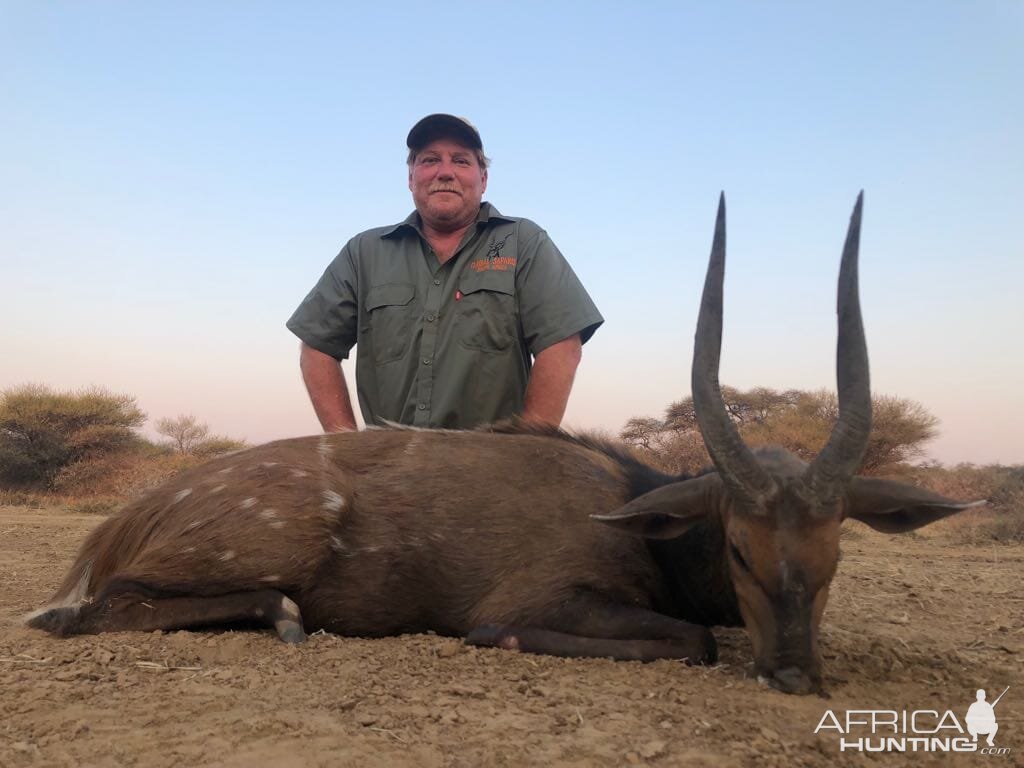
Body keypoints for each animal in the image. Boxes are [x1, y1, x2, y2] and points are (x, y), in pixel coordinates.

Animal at [28, 193, 978, 696]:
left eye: (836, 551)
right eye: (739, 549)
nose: (794, 676)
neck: (628, 505)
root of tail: (131, 515)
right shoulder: (540, 598)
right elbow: (694, 639)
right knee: (92, 611)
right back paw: (282, 616)